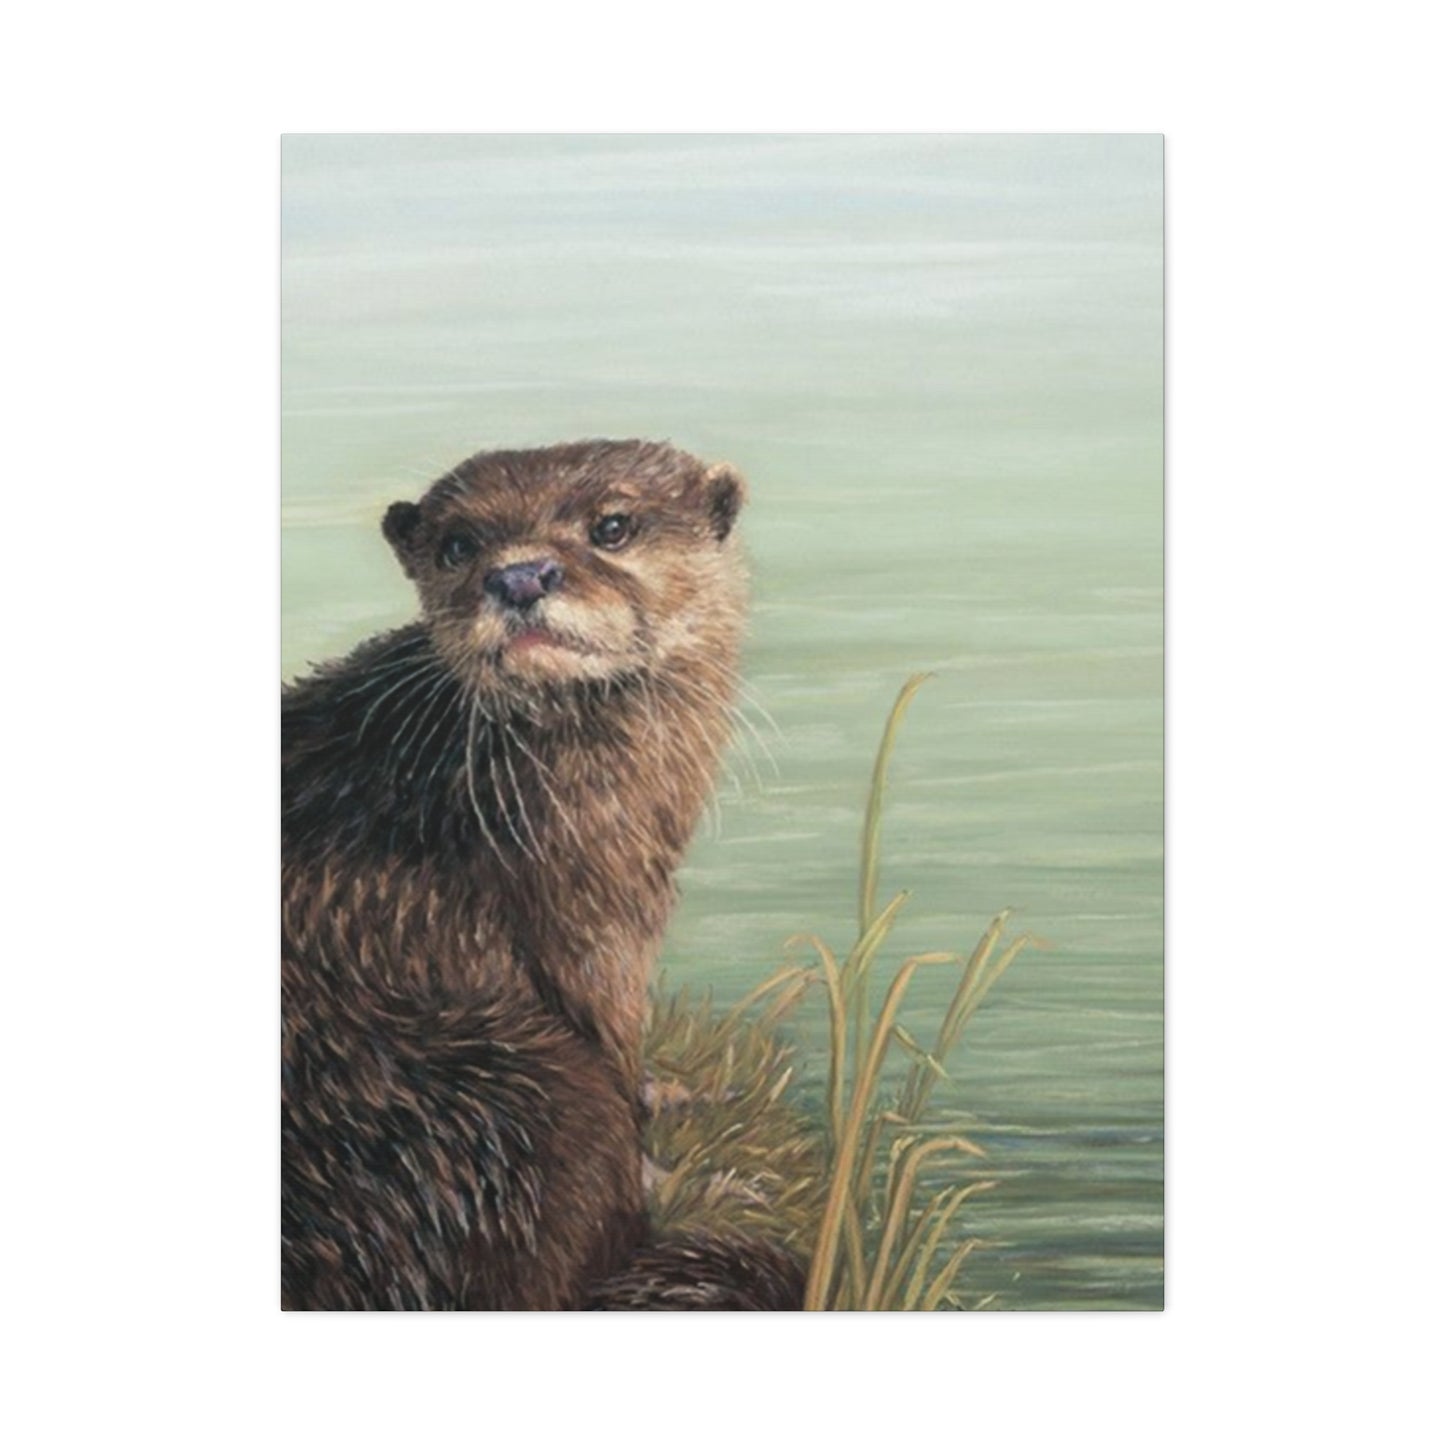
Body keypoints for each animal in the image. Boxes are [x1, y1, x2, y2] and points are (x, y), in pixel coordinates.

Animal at [282, 439, 805, 1310]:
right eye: (458, 544)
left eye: (612, 525)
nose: (520, 576)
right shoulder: (585, 909)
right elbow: (607, 1027)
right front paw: (666, 1161)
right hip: (530, 1094)